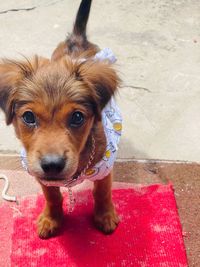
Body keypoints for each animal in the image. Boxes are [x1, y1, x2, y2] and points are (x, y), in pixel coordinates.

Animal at [0, 0, 122, 239]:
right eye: (28, 117)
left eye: (77, 117)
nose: (52, 165)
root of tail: (77, 39)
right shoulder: (41, 176)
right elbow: (52, 197)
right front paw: (51, 219)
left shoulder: (104, 169)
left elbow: (103, 192)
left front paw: (105, 216)